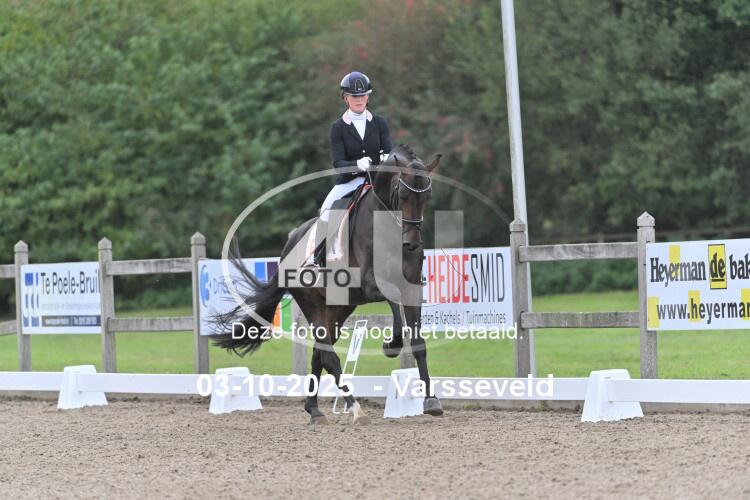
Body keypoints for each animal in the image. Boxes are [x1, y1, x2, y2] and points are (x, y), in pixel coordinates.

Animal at [212, 144, 442, 424]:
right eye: (402, 193)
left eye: (427, 196)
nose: (411, 243)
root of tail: (288, 247)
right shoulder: (371, 285)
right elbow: (396, 315)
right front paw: (391, 345)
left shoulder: (411, 287)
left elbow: (419, 344)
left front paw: (431, 401)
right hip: (312, 304)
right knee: (328, 355)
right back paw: (355, 408)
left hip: (337, 309)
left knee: (320, 353)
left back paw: (314, 409)